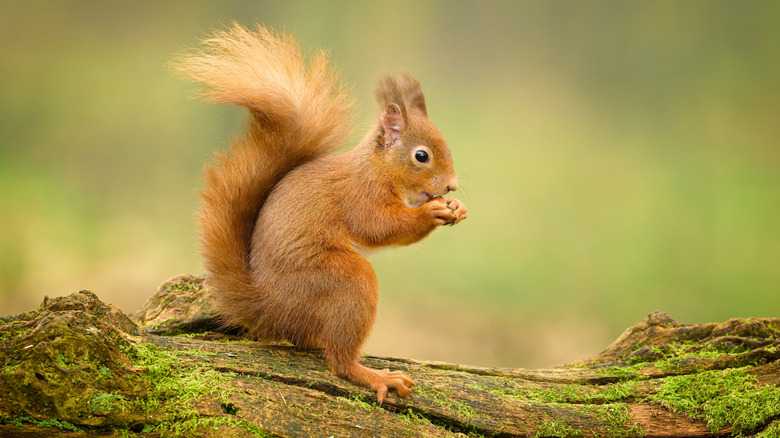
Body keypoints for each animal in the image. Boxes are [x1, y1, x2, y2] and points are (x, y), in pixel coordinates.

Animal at [172, 23, 467, 404]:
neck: (377, 169)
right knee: (339, 360)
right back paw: (373, 375)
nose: (452, 186)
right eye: (421, 156)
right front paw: (430, 211)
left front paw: (458, 208)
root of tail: (269, 307)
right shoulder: (360, 195)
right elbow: (379, 227)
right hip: (343, 281)